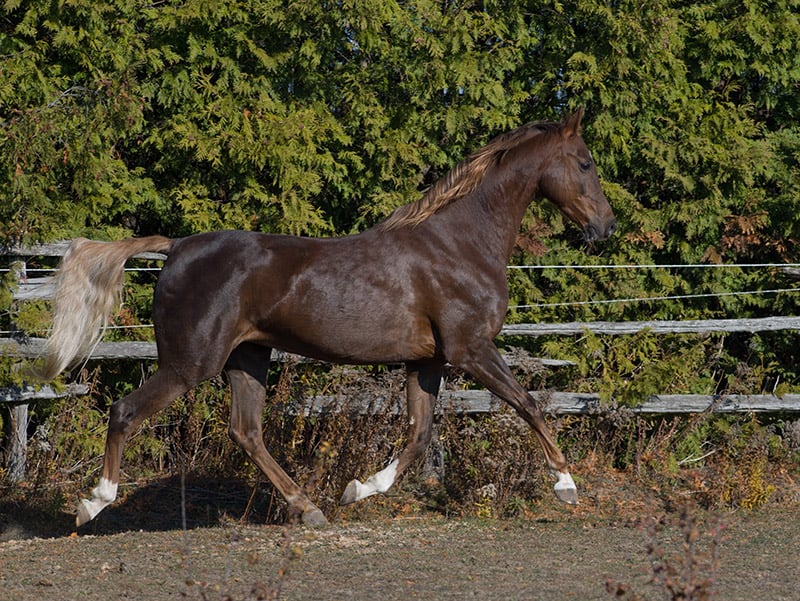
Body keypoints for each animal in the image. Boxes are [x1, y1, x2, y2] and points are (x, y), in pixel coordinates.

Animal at [36, 108, 616, 527]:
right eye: (585, 162)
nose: (606, 228)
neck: (459, 245)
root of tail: (177, 247)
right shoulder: (470, 349)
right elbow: (528, 404)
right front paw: (566, 487)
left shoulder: (427, 361)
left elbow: (419, 434)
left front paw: (359, 489)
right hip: (190, 364)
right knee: (125, 412)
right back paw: (93, 503)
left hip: (248, 357)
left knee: (246, 431)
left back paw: (309, 508)